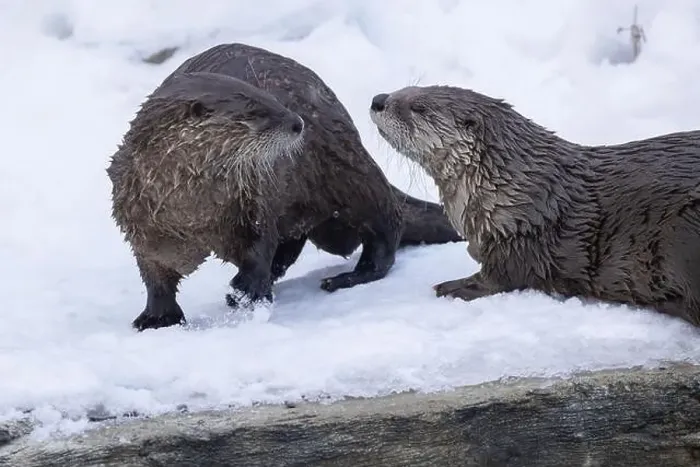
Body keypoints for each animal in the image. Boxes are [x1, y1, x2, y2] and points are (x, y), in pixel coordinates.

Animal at [108, 45, 462, 331]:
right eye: (254, 111)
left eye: (269, 98)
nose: (297, 122)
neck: (194, 211)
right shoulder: (142, 226)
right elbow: (155, 276)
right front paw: (157, 317)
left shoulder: (252, 200)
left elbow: (258, 250)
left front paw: (247, 293)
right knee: (294, 242)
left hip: (349, 171)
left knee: (386, 227)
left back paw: (344, 278)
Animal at [369, 84, 700, 327]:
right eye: (407, 88)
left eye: (419, 107)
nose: (378, 99)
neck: (511, 191)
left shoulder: (520, 239)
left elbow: (501, 277)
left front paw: (452, 287)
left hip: (682, 234)